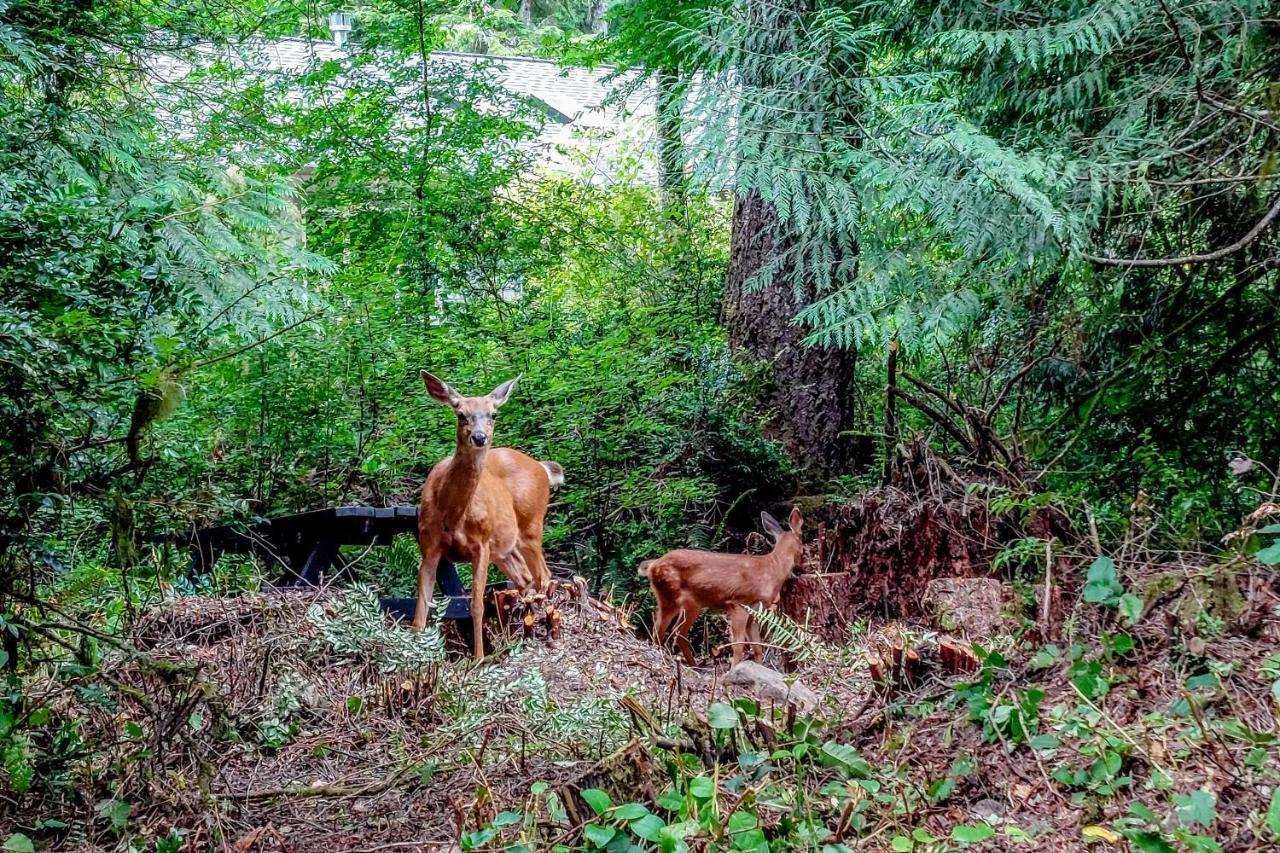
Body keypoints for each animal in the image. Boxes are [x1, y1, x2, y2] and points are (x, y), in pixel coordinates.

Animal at [414, 371, 565, 655]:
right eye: (460, 414)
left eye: (493, 414)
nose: (479, 437)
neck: (453, 514)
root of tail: (541, 467)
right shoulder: (429, 546)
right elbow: (420, 610)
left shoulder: (481, 545)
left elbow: (476, 606)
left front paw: (479, 658)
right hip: (504, 548)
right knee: (525, 577)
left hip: (531, 526)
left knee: (544, 575)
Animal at [637, 504, 803, 666]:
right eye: (802, 544)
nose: (801, 565)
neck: (773, 568)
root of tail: (652, 565)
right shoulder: (738, 603)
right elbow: (738, 646)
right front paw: (733, 669)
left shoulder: (755, 610)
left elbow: (757, 646)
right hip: (668, 594)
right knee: (658, 631)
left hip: (691, 604)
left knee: (678, 633)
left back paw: (694, 665)